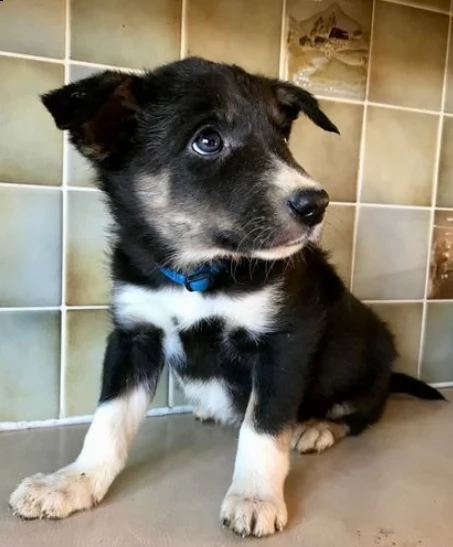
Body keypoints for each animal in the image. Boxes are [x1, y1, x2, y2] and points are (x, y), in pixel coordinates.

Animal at [8, 57, 444, 536]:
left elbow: (264, 426)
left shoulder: (284, 342)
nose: (316, 205)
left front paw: (254, 496)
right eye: (208, 140)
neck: (198, 274)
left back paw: (318, 427)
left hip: (369, 355)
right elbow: (108, 421)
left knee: (364, 410)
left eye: (282, 136)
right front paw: (70, 483)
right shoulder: (133, 333)